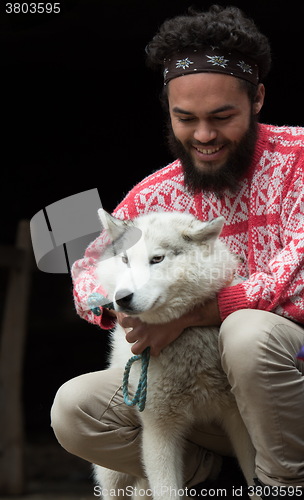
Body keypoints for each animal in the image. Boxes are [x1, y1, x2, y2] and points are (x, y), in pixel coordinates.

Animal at [94, 209, 255, 498]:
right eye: (125, 259)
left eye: (157, 259)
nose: (121, 298)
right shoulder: (159, 428)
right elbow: (166, 490)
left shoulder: (239, 423)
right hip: (113, 475)